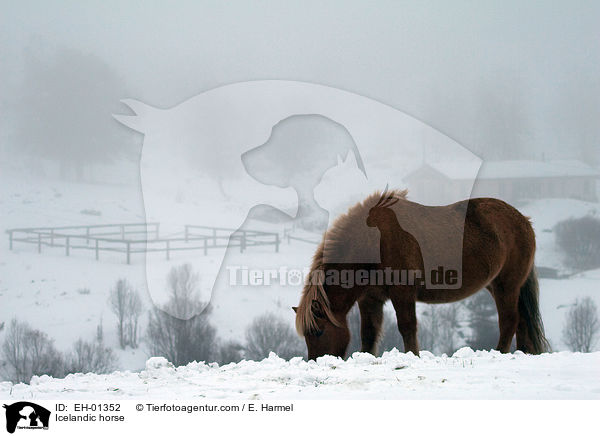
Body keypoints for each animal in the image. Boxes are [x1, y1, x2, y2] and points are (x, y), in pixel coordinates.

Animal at [294, 189, 548, 360]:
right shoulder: (370, 299)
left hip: (507, 286)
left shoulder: (403, 293)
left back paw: (501, 353)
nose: (315, 362)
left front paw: (412, 356)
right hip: (498, 286)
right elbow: (368, 333)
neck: (373, 241)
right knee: (522, 321)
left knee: (509, 321)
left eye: (318, 331)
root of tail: (524, 221)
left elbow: (407, 326)